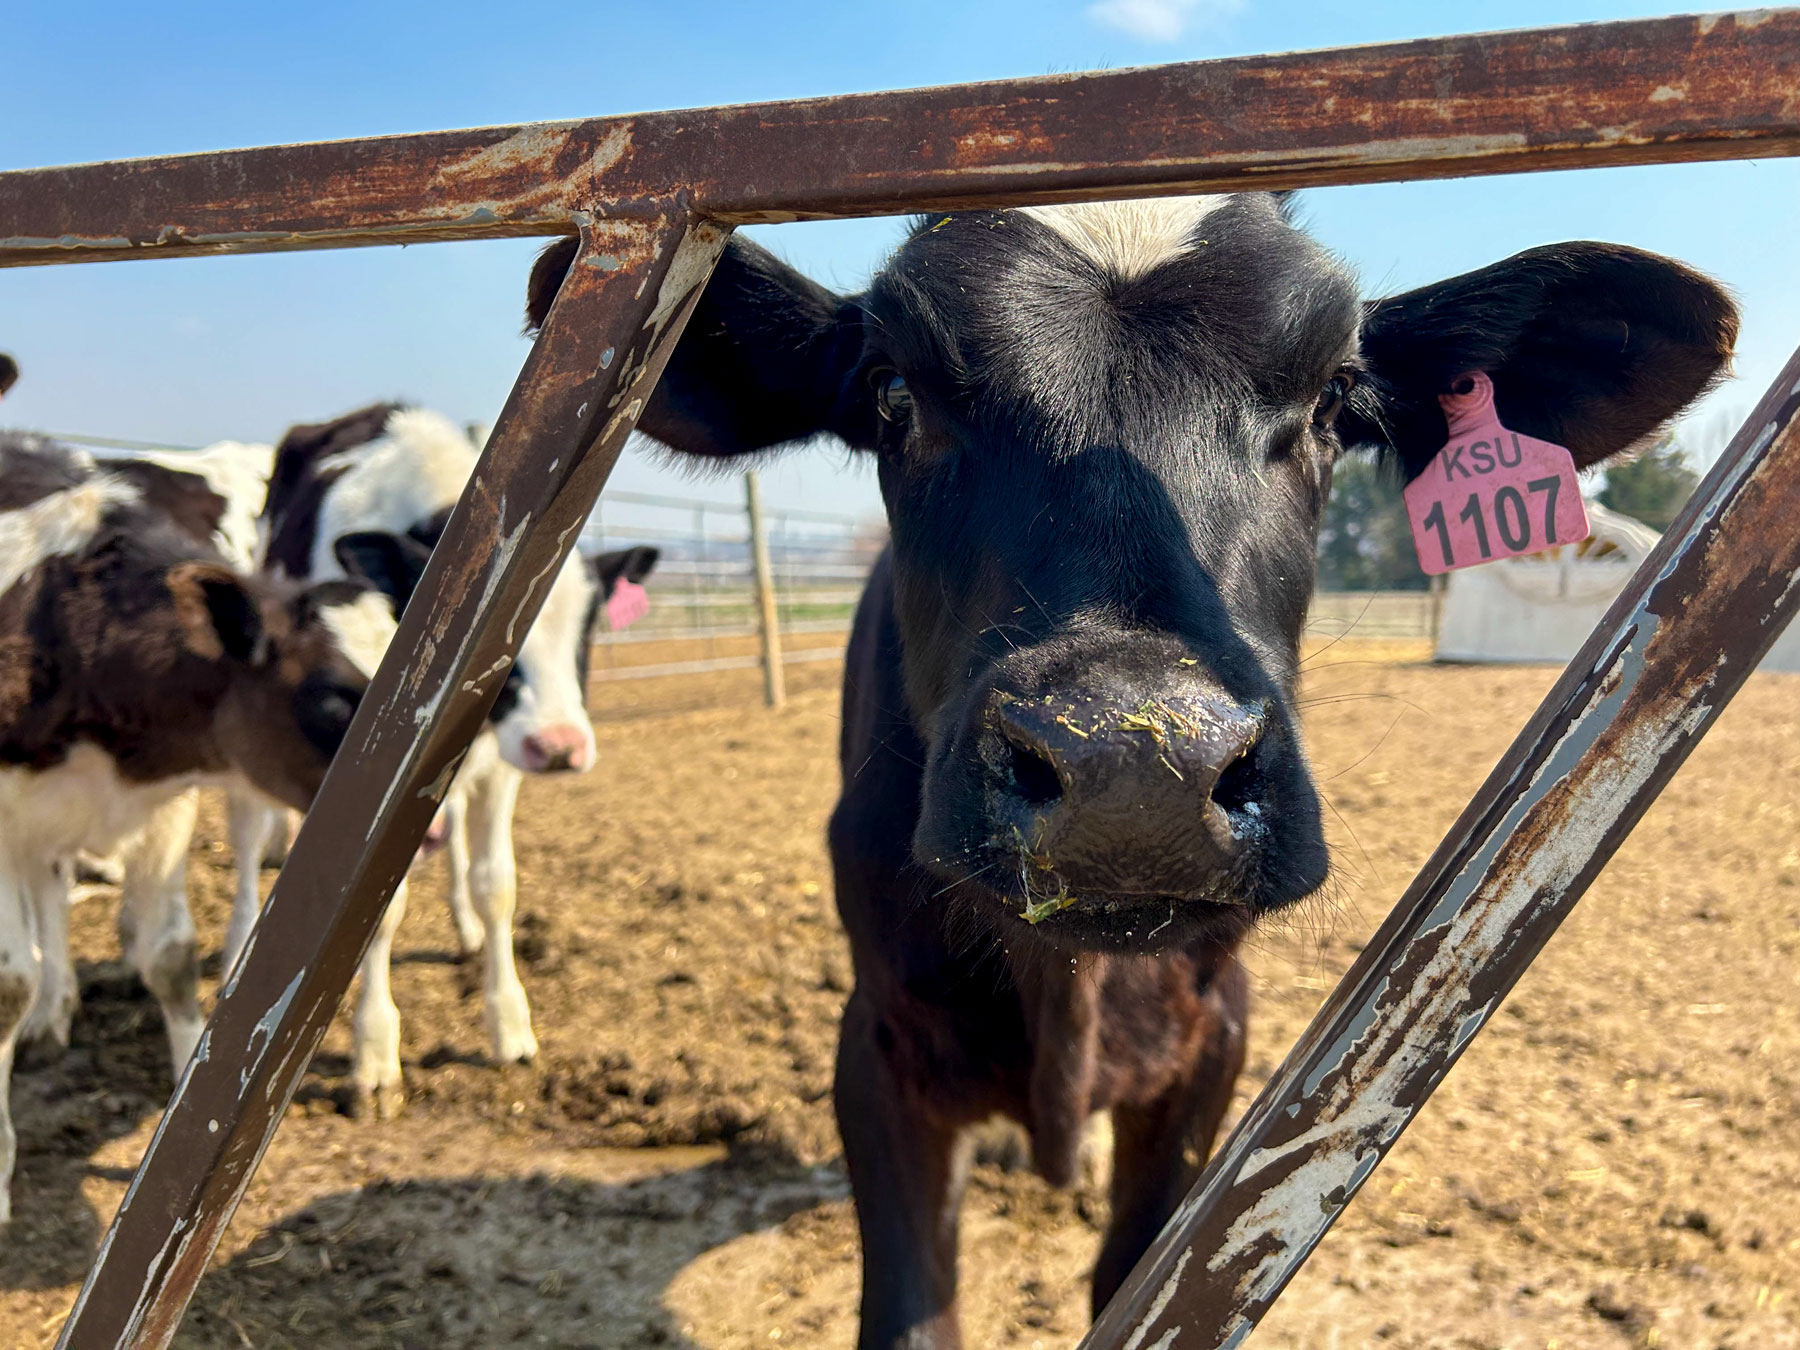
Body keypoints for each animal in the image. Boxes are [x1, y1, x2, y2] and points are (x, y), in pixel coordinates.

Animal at [252, 404, 658, 1115]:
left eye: (588, 626)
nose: (560, 746)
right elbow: (370, 910)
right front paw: (374, 1052)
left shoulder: (499, 762)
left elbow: (497, 884)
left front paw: (508, 1021)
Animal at [526, 195, 1736, 1346]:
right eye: (891, 393)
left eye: (1337, 398)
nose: (1133, 768)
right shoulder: (878, 1041)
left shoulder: (1212, 1038)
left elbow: (1133, 1278)